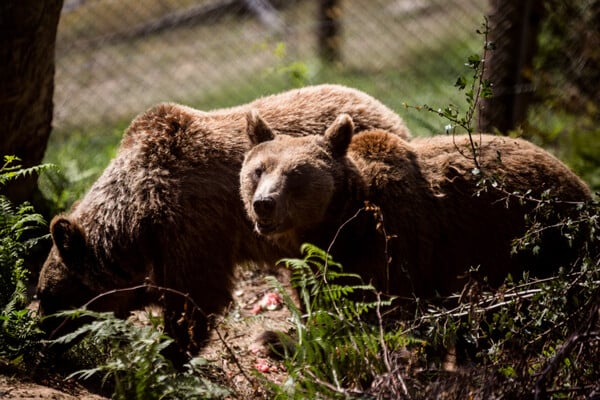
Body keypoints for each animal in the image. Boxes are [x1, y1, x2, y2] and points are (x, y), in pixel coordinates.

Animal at [35, 83, 410, 360]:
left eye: (48, 295)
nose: (41, 341)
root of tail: (382, 108)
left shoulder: (191, 224)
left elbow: (196, 297)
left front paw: (170, 352)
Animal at [239, 112, 592, 304]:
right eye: (259, 169)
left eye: (296, 173)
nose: (264, 205)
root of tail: (579, 181)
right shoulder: (313, 266)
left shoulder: (396, 243)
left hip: (541, 243)